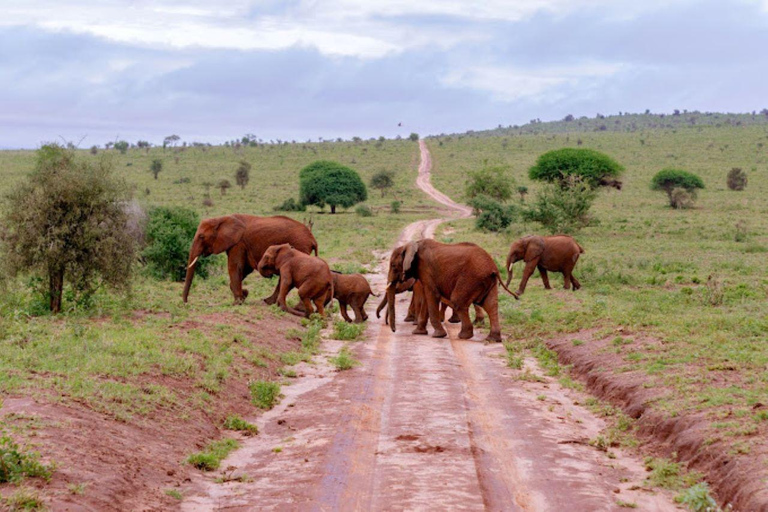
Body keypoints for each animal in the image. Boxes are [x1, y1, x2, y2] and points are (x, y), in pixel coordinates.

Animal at [182, 215, 316, 304]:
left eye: (201, 236)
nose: (185, 302)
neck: (221, 219)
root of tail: (312, 238)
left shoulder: (238, 243)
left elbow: (235, 267)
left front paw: (237, 302)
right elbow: (244, 269)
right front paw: (244, 294)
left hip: (299, 247)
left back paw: (269, 302)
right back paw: (268, 301)